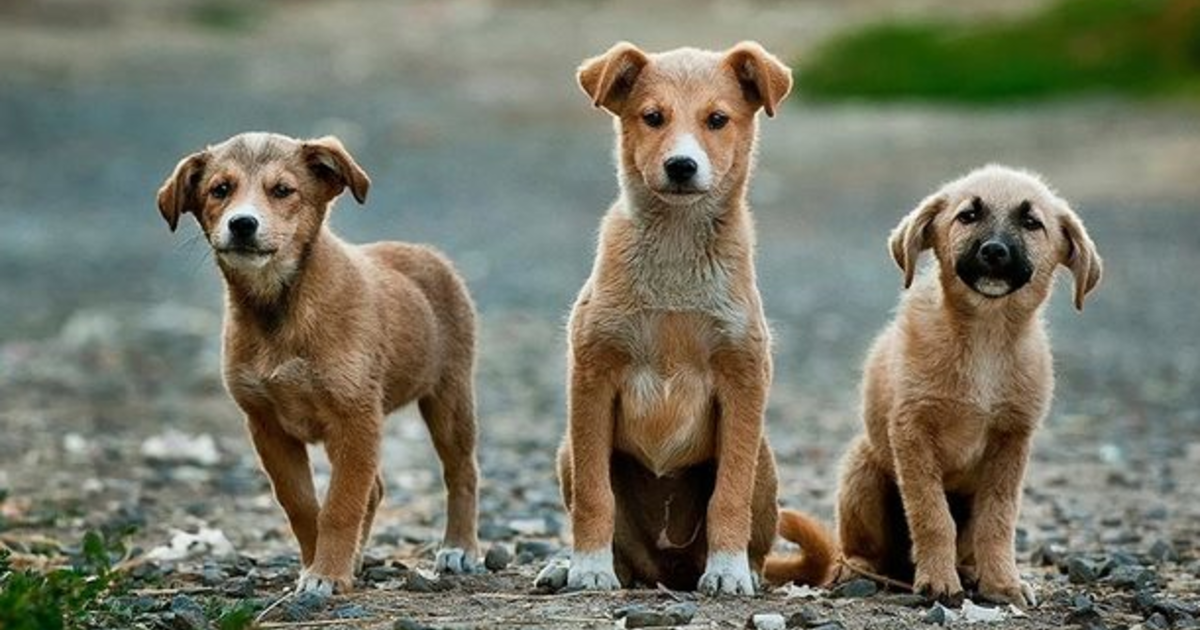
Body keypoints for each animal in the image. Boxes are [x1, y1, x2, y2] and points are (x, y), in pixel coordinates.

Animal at [157, 132, 480, 595]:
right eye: (220, 190)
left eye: (282, 190)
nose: (242, 224)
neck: (280, 309)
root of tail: (426, 253)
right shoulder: (267, 426)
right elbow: (303, 505)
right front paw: (319, 565)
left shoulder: (356, 418)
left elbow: (341, 504)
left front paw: (326, 573)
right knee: (375, 489)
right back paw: (358, 558)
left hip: (449, 397)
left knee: (461, 472)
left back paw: (459, 548)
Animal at [544, 42, 835, 595]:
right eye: (652, 117)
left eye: (717, 120)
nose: (681, 166)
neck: (676, 252)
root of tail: (669, 570)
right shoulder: (591, 375)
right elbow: (595, 495)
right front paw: (588, 567)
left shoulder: (743, 379)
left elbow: (729, 494)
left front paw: (727, 571)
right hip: (568, 451)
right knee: (624, 549)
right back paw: (574, 567)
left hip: (765, 461)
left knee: (754, 532)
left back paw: (744, 569)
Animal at [840, 164, 1099, 607]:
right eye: (968, 216)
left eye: (1031, 223)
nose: (994, 251)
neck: (985, 337)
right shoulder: (912, 431)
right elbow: (931, 514)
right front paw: (938, 581)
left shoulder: (1012, 440)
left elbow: (997, 520)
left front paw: (1002, 583)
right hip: (862, 470)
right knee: (863, 549)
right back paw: (865, 570)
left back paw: (970, 570)